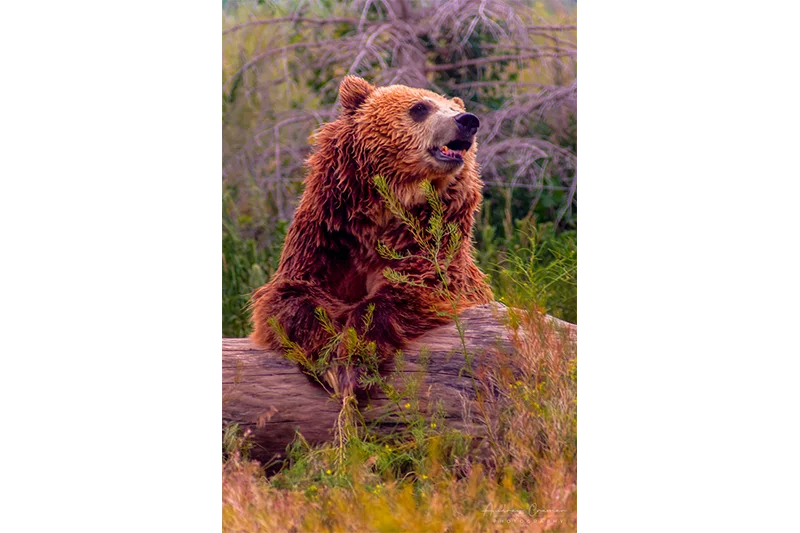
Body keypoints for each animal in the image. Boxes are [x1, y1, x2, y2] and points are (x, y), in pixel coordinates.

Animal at [252, 74, 494, 390]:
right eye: (420, 108)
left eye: (453, 106)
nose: (467, 120)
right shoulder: (328, 237)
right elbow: (293, 293)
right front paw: (327, 356)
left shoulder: (428, 242)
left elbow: (409, 288)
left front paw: (354, 360)